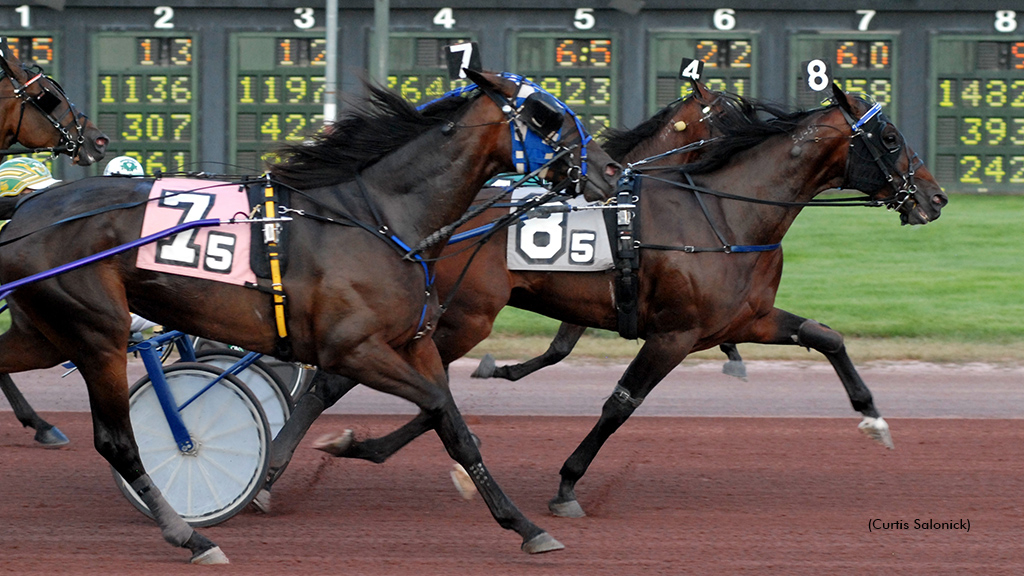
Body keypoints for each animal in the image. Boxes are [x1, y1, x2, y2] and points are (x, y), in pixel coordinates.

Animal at [282, 84, 950, 516]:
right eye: (890, 137)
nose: (936, 198)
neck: (723, 216)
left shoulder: (746, 319)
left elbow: (825, 336)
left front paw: (874, 418)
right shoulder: (675, 334)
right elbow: (620, 404)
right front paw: (567, 486)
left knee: (413, 394)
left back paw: (350, 449)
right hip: (459, 319)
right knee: (351, 383)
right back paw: (288, 467)